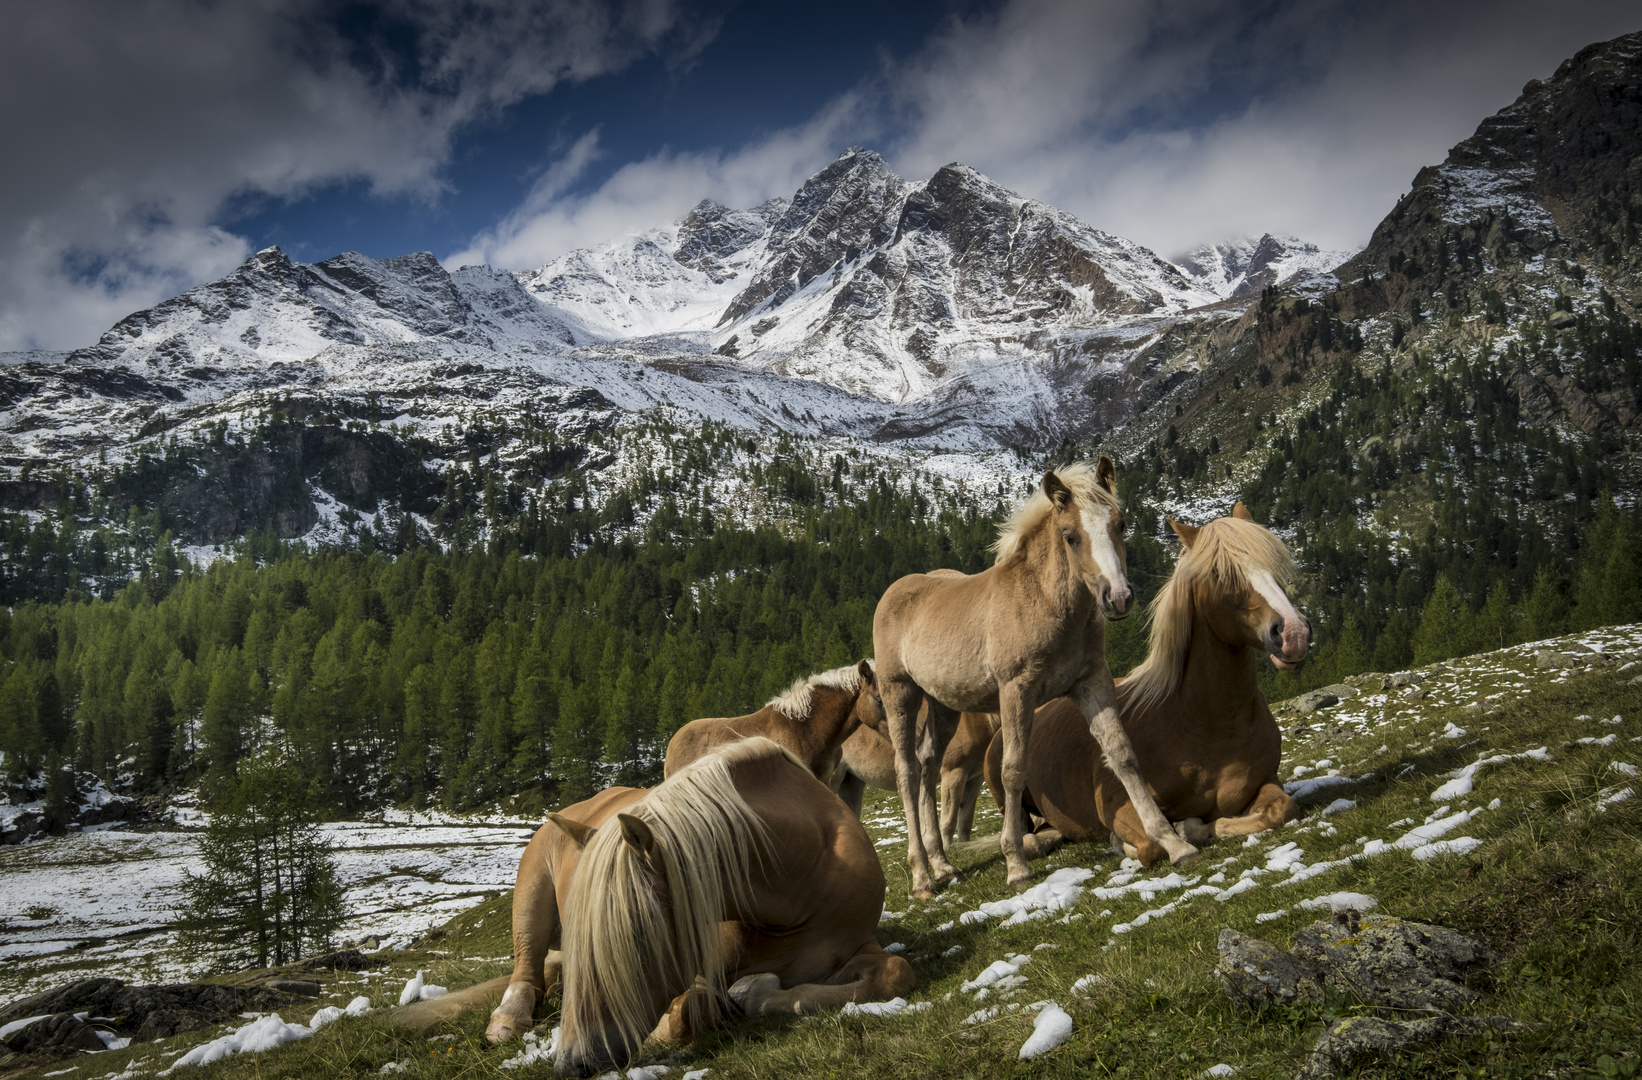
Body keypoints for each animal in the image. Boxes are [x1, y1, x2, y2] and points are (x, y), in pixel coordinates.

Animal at [873, 453, 1195, 892]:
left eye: (1121, 523)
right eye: (1070, 536)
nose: (1118, 598)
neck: (1044, 603)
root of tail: (893, 592)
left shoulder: (1091, 682)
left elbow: (1122, 753)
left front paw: (1173, 842)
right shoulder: (1016, 691)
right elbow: (1012, 770)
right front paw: (1016, 865)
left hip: (944, 706)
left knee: (927, 767)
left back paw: (942, 865)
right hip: (899, 693)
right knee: (906, 772)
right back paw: (922, 876)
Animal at [978, 498, 1313, 860]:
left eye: (1274, 561)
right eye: (1217, 572)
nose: (1294, 633)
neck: (1206, 724)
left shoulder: (1267, 782)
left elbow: (1282, 809)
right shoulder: (1119, 805)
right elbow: (1153, 844)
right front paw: (1178, 832)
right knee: (1027, 832)